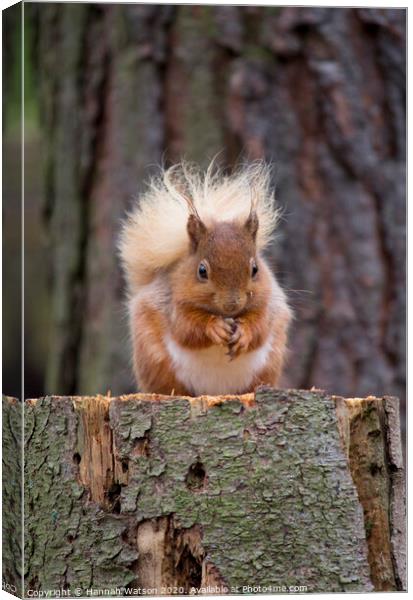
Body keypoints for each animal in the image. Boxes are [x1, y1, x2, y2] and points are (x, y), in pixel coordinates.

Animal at [118, 162, 292, 396]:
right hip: (155, 359)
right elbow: (187, 328)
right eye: (202, 271)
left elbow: (260, 326)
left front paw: (244, 334)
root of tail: (214, 391)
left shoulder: (268, 303)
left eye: (255, 269)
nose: (232, 304)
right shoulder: (172, 302)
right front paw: (215, 327)